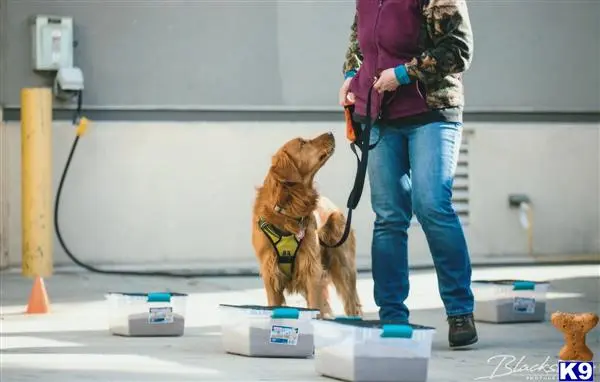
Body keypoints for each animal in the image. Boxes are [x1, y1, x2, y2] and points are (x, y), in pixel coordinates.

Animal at [252, 133, 360, 318]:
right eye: (302, 143)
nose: (331, 133)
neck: (288, 210)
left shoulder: (311, 271)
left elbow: (314, 308)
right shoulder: (271, 274)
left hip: (343, 266)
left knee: (352, 303)